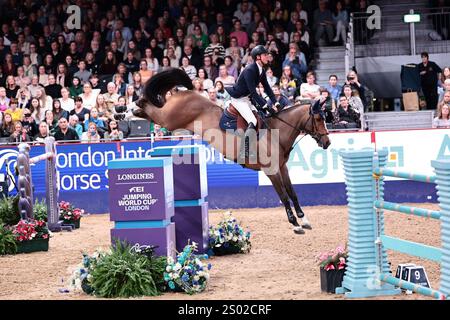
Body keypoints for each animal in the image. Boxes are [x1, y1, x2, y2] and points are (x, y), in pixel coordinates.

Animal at [134, 69, 330, 234]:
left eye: (325, 117)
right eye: (319, 118)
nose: (327, 143)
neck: (277, 132)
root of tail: (184, 92)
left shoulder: (282, 167)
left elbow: (292, 193)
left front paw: (304, 219)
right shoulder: (271, 171)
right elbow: (283, 196)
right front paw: (295, 224)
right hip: (169, 119)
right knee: (154, 111)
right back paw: (135, 106)